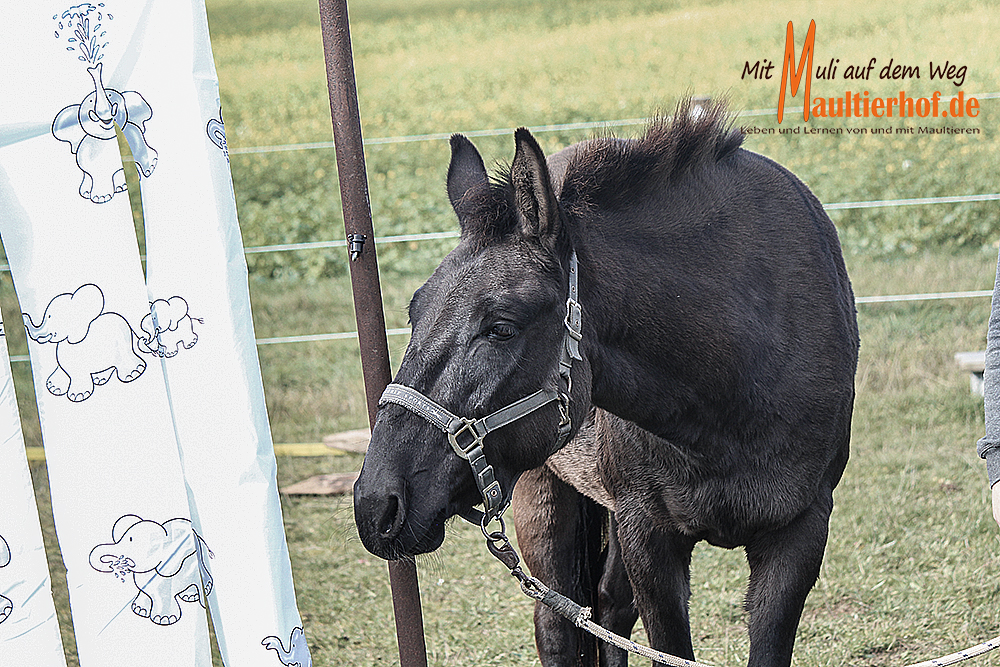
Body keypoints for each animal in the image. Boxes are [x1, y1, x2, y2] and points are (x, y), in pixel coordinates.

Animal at [353, 99, 860, 667]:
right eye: (414, 312)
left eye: (501, 327)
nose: (376, 504)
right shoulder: (649, 535)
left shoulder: (799, 532)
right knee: (558, 621)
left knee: (609, 607)